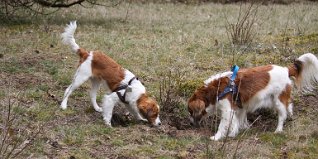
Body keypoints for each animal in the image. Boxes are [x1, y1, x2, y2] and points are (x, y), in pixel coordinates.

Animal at [188, 53, 318, 140]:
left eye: (191, 111)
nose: (190, 124)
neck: (216, 89)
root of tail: (285, 69)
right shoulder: (238, 108)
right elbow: (236, 122)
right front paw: (234, 133)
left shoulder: (227, 109)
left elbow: (222, 125)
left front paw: (217, 137)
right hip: (274, 99)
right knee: (289, 105)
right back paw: (290, 114)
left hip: (278, 100)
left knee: (282, 115)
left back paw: (278, 130)